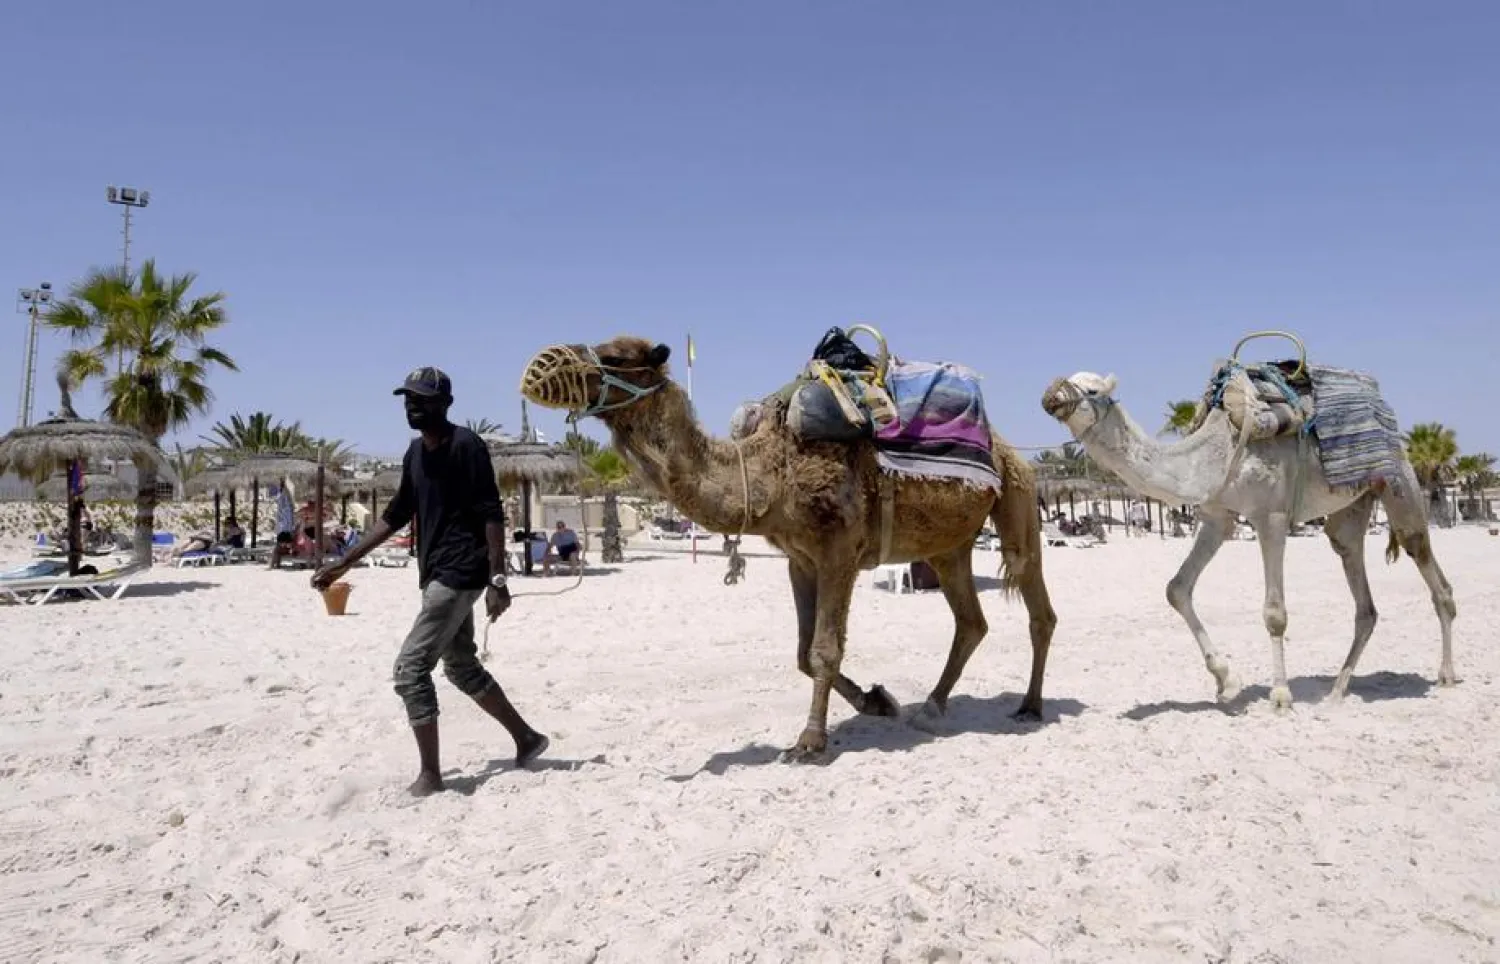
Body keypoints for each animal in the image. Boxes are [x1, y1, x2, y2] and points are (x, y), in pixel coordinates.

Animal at [519, 336, 1058, 759]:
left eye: (614, 356)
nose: (538, 366)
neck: (768, 474)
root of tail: (1007, 449)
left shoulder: (840, 550)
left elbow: (823, 650)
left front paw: (809, 741)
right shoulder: (799, 559)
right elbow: (802, 653)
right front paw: (877, 701)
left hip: (1019, 499)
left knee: (1038, 608)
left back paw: (1030, 707)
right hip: (948, 545)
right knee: (971, 620)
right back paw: (931, 704)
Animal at [1040, 370, 1456, 710]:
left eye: (1091, 389)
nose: (1051, 395)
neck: (1214, 452)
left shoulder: (1271, 516)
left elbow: (1275, 612)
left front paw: (1280, 695)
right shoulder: (1217, 517)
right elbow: (1177, 589)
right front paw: (1227, 682)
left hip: (1400, 483)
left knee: (1432, 573)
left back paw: (1446, 675)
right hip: (1350, 508)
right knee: (1359, 587)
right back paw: (1337, 691)